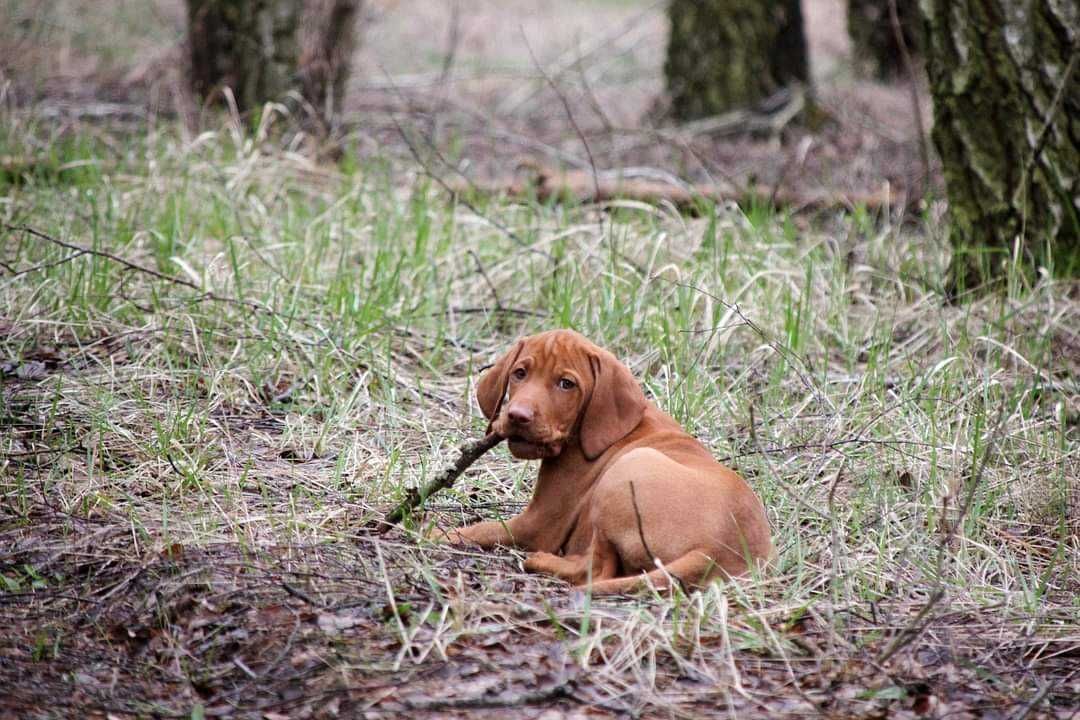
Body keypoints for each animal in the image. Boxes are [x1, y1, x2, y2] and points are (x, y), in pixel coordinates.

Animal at [447, 330, 777, 595]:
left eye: (566, 384)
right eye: (519, 373)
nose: (517, 416)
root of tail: (713, 549)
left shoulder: (538, 523)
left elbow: (479, 530)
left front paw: (440, 534)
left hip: (624, 471)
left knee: (595, 569)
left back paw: (544, 561)